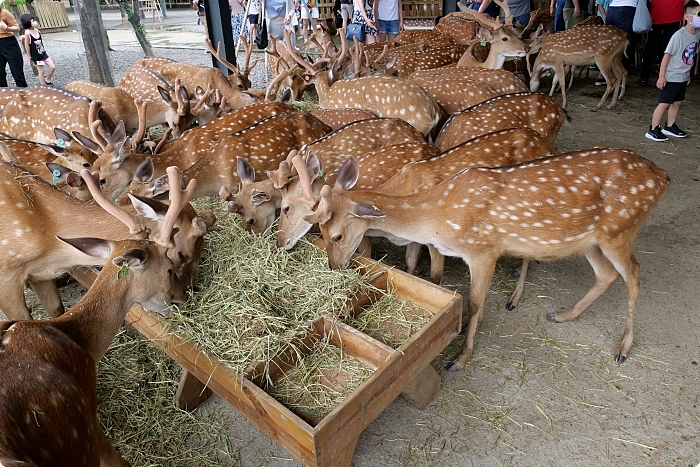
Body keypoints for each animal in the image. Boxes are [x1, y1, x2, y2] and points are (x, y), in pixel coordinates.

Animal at [304, 148, 668, 372]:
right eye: (318, 228)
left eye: (336, 235)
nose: (334, 267)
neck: (436, 214)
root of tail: (663, 178)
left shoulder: (483, 250)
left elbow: (475, 301)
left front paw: (460, 357)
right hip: (590, 240)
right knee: (606, 274)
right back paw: (563, 315)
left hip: (620, 229)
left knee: (634, 274)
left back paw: (623, 348)